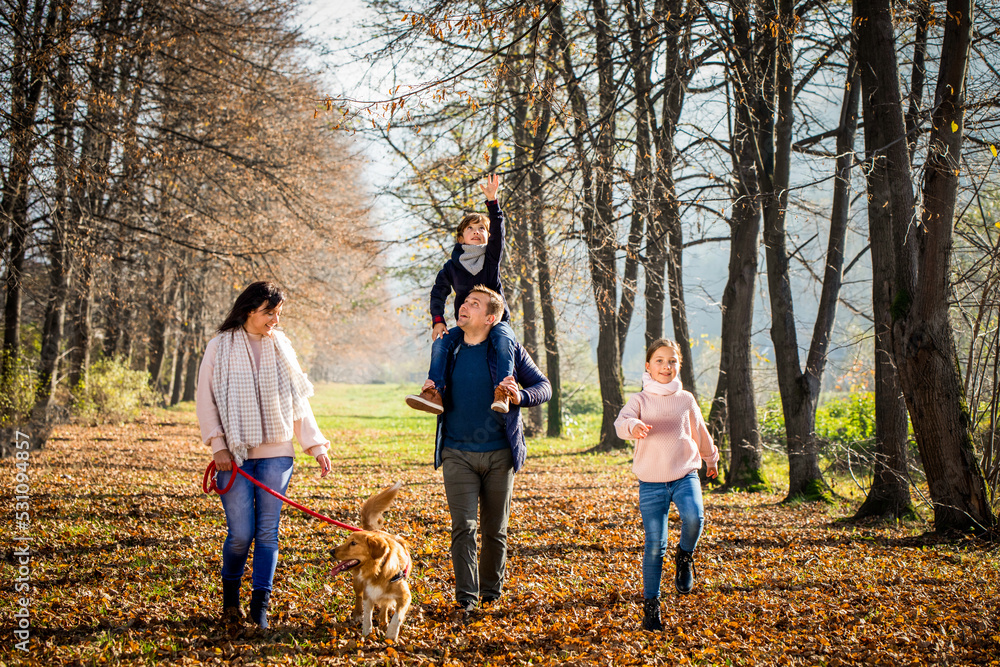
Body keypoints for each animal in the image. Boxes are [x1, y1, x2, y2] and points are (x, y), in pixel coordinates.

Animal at [332, 482, 410, 640]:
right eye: (347, 541)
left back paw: (383, 621)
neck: (379, 570)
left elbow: (397, 616)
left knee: (385, 605)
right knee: (358, 596)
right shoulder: (369, 594)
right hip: (357, 583)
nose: (331, 551)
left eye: (353, 543)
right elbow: (367, 615)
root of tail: (374, 531)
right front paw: (366, 633)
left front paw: (391, 634)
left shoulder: (405, 596)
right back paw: (357, 614)